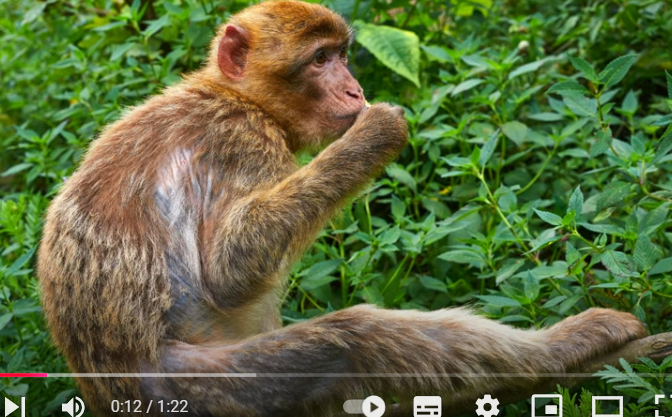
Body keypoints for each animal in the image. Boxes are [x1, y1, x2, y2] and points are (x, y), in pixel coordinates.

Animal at [36, 0, 644, 416]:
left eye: (343, 55)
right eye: (320, 59)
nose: (354, 91)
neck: (237, 97)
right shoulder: (242, 140)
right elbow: (227, 271)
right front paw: (374, 134)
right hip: (209, 390)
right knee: (353, 339)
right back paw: (562, 349)